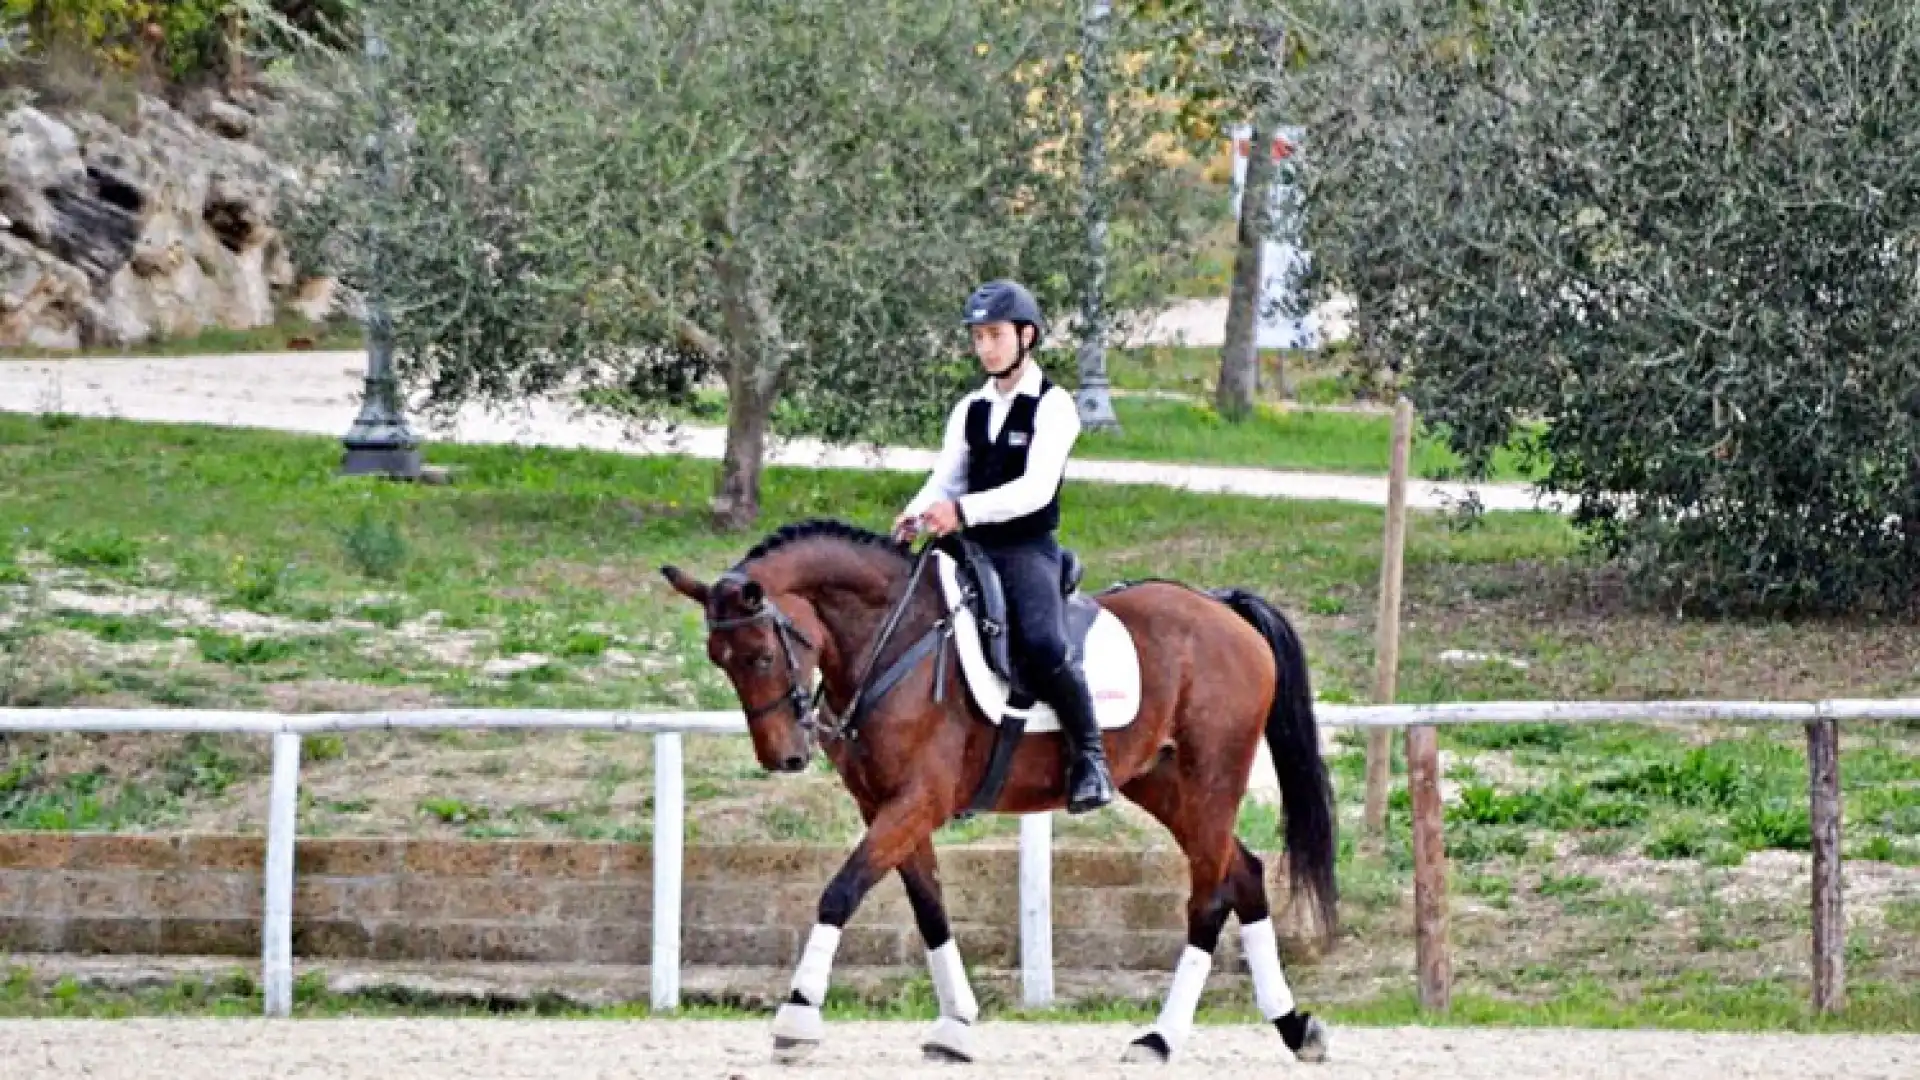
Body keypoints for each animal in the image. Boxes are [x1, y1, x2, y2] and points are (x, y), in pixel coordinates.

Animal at [660, 518, 1336, 1060]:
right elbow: (930, 909)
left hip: (1210, 779)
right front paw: (955, 1025)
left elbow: (841, 892)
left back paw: (1160, 1038)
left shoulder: (919, 801)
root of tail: (1223, 608)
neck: (894, 637)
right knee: (1243, 872)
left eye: (760, 656)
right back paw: (1293, 1026)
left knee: (1211, 896)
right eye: (720, 660)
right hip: (1165, 784)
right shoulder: (886, 806)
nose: (785, 757)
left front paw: (797, 1018)